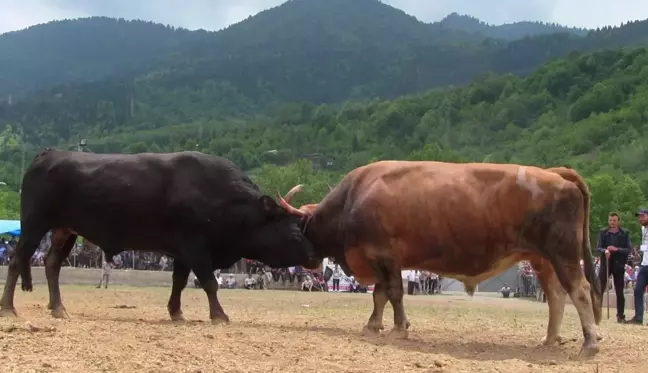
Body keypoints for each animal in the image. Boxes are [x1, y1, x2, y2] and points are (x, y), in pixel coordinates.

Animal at [0, 149, 318, 322]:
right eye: (293, 231)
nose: (315, 257)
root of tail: (49, 154)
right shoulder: (195, 247)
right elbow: (209, 283)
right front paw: (219, 315)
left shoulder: (183, 253)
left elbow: (179, 282)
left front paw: (176, 312)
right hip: (34, 225)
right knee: (17, 261)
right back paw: (9, 308)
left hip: (64, 230)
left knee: (52, 264)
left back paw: (58, 308)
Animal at [278, 161, 604, 358]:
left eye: (296, 228)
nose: (306, 262)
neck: (353, 199)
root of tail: (555, 173)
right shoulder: (381, 261)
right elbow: (379, 295)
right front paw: (373, 325)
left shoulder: (385, 256)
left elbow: (393, 293)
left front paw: (399, 328)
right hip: (543, 260)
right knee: (557, 296)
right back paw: (550, 339)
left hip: (564, 255)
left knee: (580, 291)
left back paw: (590, 342)